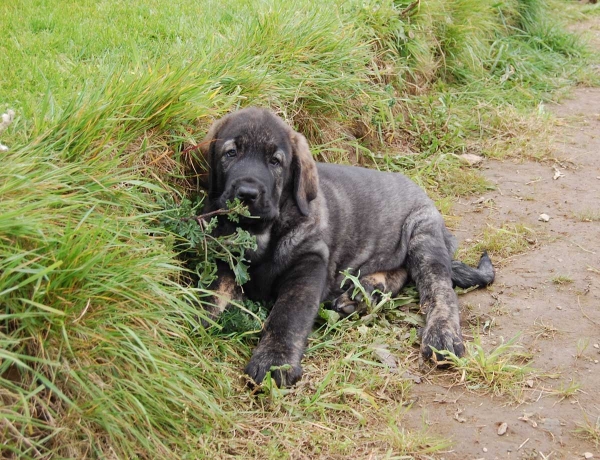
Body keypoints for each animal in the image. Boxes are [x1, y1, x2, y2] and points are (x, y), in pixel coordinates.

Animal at [199, 108, 494, 388]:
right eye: (231, 153)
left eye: (275, 161)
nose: (247, 193)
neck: (262, 234)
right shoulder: (223, 257)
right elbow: (211, 292)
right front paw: (193, 318)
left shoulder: (310, 264)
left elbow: (288, 315)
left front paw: (275, 360)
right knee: (399, 273)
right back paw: (364, 293)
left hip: (423, 235)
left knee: (439, 289)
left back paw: (441, 334)